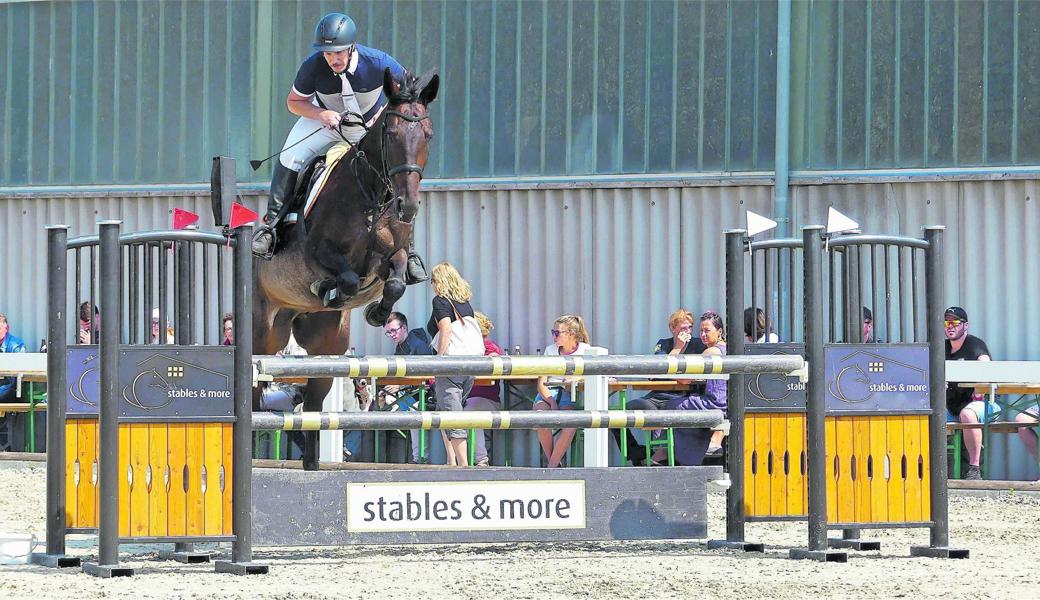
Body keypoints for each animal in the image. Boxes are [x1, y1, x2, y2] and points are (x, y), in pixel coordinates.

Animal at [256, 66, 443, 467]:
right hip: (266, 332)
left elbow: (396, 281)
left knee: (313, 399)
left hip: (325, 344)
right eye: (390, 134)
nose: (407, 206)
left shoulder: (393, 257)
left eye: (428, 134)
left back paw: (312, 463)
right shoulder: (317, 255)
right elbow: (347, 278)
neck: (371, 194)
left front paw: (376, 313)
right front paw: (332, 291)